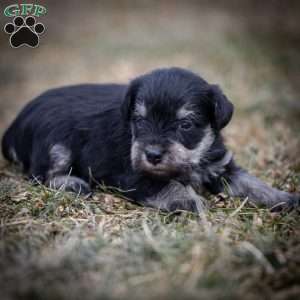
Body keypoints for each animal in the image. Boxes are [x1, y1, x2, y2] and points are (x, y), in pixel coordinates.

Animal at [1, 67, 298, 212]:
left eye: (185, 125)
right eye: (141, 120)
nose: (152, 155)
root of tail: (14, 125)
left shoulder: (222, 167)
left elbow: (253, 184)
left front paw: (283, 198)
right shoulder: (134, 175)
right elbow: (169, 186)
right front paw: (190, 201)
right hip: (56, 145)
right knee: (39, 174)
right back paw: (72, 183)